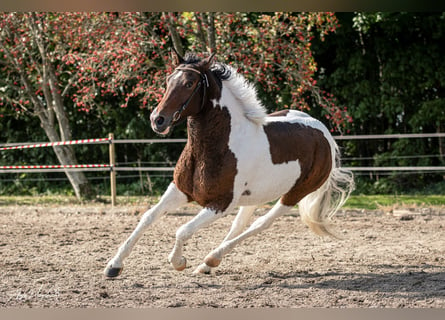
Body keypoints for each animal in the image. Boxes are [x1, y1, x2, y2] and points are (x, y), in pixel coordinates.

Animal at [102, 50, 352, 278]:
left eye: (189, 83)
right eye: (168, 80)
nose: (158, 120)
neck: (214, 147)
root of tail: (325, 134)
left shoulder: (221, 203)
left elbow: (182, 230)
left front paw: (179, 262)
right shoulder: (180, 190)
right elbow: (147, 218)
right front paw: (113, 266)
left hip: (294, 194)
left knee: (260, 224)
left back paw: (211, 259)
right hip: (256, 195)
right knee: (239, 226)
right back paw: (206, 264)